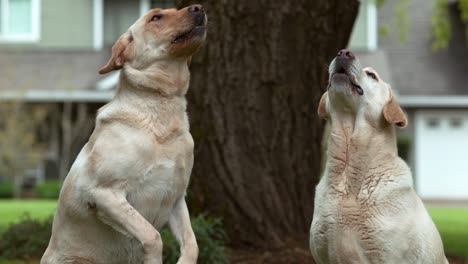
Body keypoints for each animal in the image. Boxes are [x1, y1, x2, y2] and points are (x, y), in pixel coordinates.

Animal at [39, 4, 207, 264]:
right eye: (156, 17)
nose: (199, 7)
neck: (161, 108)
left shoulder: (177, 198)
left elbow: (191, 245)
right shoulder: (103, 194)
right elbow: (152, 235)